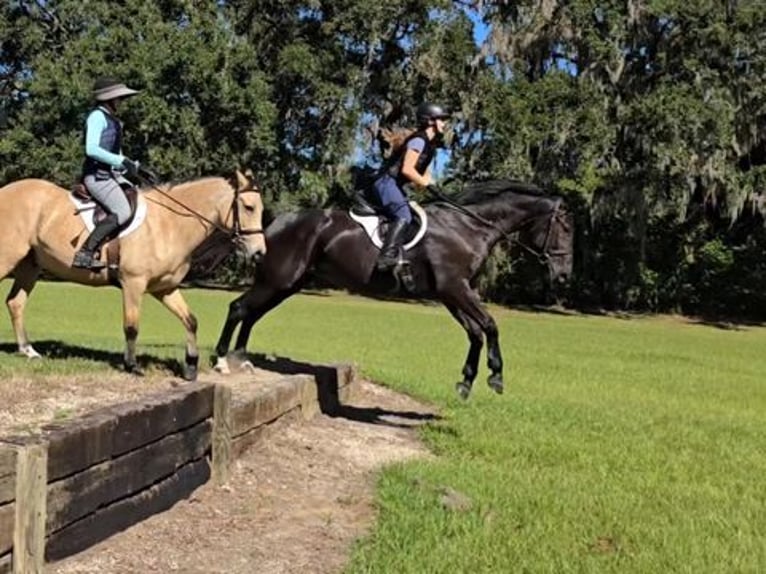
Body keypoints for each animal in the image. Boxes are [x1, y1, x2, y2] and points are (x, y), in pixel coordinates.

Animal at [0, 169, 268, 380]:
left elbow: (190, 320)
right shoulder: (133, 283)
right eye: (249, 207)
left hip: (30, 265)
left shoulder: (165, 288)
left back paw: (28, 350)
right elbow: (132, 326)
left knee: (15, 303)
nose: (259, 253)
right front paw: (132, 366)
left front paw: (191, 366)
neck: (169, 224)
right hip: (8, 258)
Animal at [213, 180, 572, 400]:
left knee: (252, 313)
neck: (467, 227)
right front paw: (496, 376)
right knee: (238, 308)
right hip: (277, 280)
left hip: (287, 284)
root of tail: (274, 224)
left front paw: (466, 381)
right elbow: (490, 325)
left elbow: (475, 332)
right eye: (566, 228)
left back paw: (241, 357)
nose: (564, 277)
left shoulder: (450, 293)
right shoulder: (455, 288)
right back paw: (221, 360)